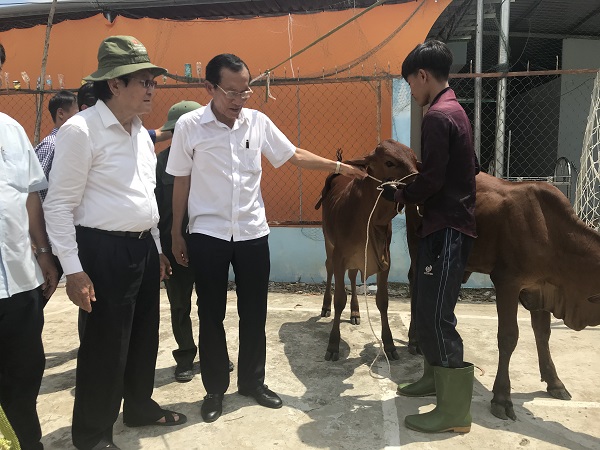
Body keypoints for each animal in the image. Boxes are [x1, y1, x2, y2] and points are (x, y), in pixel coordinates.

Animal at [316, 139, 420, 360]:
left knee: (354, 276)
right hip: (328, 242)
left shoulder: (384, 262)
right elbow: (339, 300)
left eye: (415, 160)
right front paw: (333, 345)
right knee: (328, 269)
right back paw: (325, 306)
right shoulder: (340, 257)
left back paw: (355, 312)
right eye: (389, 162)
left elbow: (383, 302)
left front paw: (389, 344)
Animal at [406, 172, 600, 422]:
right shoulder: (507, 282)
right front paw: (502, 397)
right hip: (417, 248)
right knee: (415, 286)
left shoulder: (541, 289)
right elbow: (508, 337)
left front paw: (555, 382)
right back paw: (415, 340)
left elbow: (543, 335)